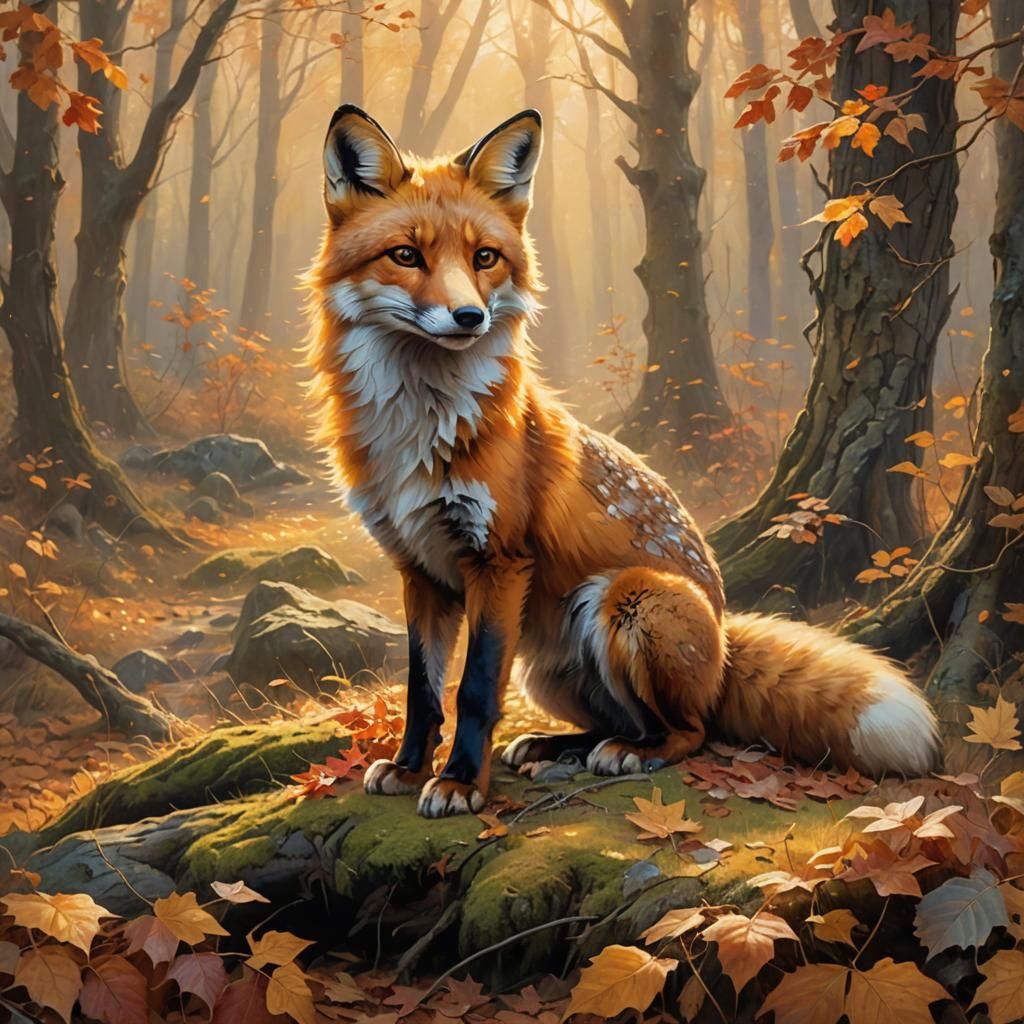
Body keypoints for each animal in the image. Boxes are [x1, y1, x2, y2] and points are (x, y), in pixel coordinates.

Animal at [305, 105, 941, 818]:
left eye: (484, 258)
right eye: (406, 255)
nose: (469, 316)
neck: (419, 430)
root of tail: (724, 640)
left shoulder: (499, 560)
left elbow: (473, 691)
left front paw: (461, 782)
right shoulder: (420, 571)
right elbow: (422, 689)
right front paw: (411, 766)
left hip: (626, 602)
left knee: (690, 731)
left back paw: (625, 755)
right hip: (547, 671)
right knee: (621, 721)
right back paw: (557, 748)